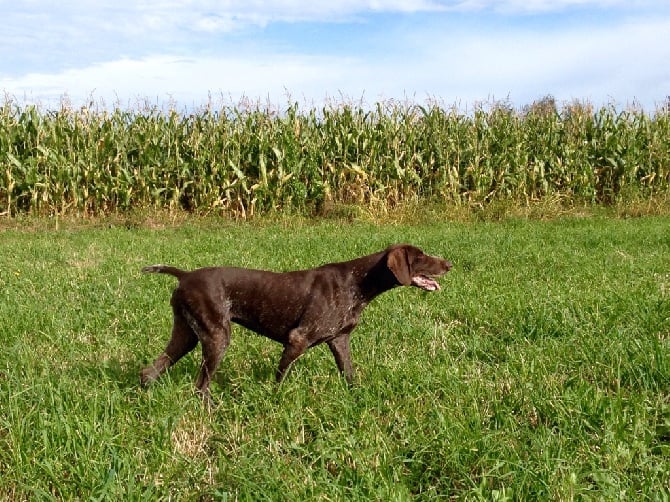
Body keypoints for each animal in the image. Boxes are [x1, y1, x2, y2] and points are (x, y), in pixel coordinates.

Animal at [144, 244, 454, 400]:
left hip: (187, 335)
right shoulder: (297, 339)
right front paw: (273, 402)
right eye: (420, 257)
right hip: (217, 337)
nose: (449, 264)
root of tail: (185, 275)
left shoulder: (339, 340)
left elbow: (350, 375)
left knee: (149, 371)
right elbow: (279, 380)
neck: (359, 283)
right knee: (200, 385)